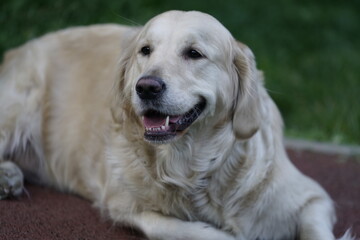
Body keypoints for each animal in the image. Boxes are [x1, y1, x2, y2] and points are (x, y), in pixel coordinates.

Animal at [0, 10, 354, 240]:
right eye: (145, 50)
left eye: (194, 53)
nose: (146, 87)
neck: (192, 167)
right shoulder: (120, 203)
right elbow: (182, 230)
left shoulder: (312, 197)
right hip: (19, 105)